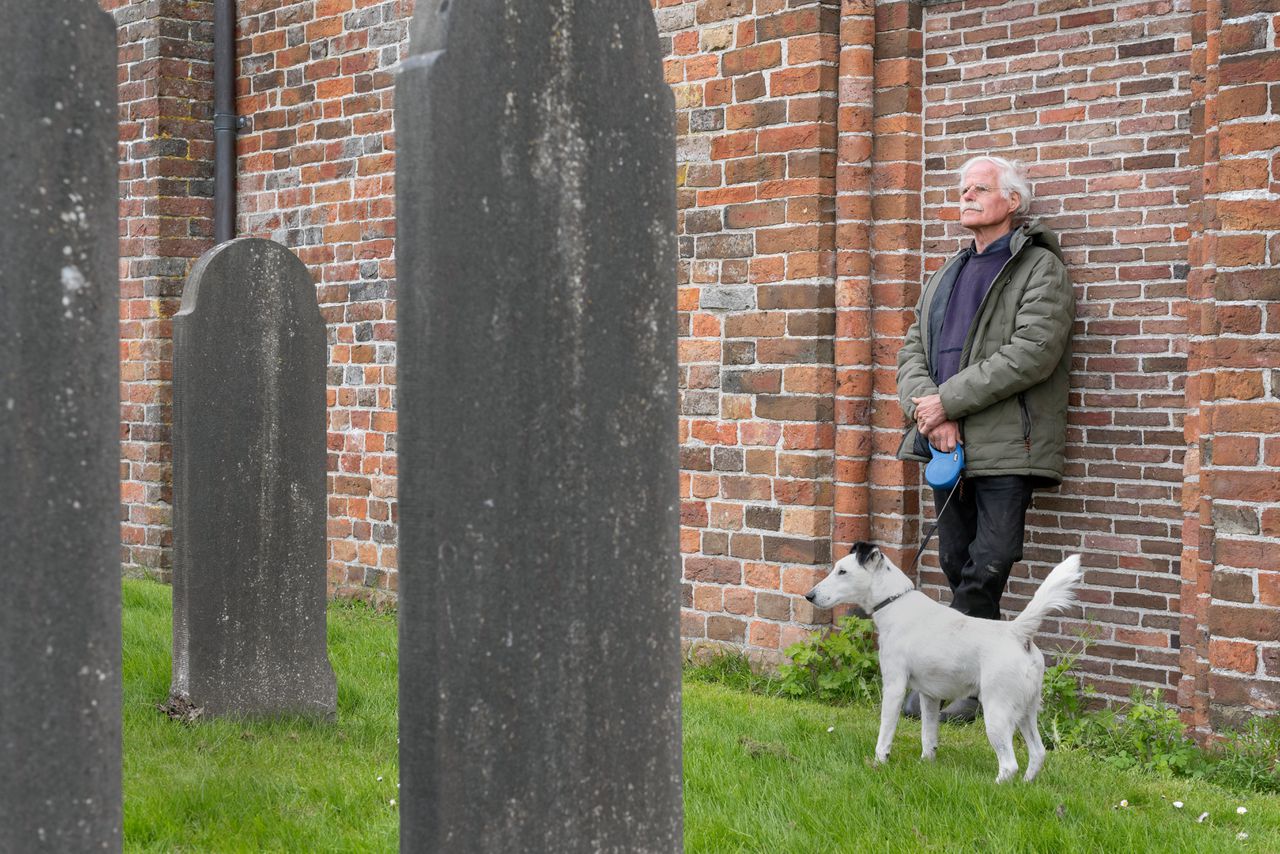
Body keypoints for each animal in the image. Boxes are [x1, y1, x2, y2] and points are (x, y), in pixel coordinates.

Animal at [808, 545, 1080, 783]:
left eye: (842, 571)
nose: (809, 596)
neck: (895, 603)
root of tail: (1017, 633)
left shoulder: (894, 686)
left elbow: (885, 733)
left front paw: (879, 762)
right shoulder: (929, 696)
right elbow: (928, 736)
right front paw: (926, 764)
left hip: (997, 713)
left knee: (1009, 765)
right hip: (1026, 711)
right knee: (1038, 753)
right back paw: (1025, 785)